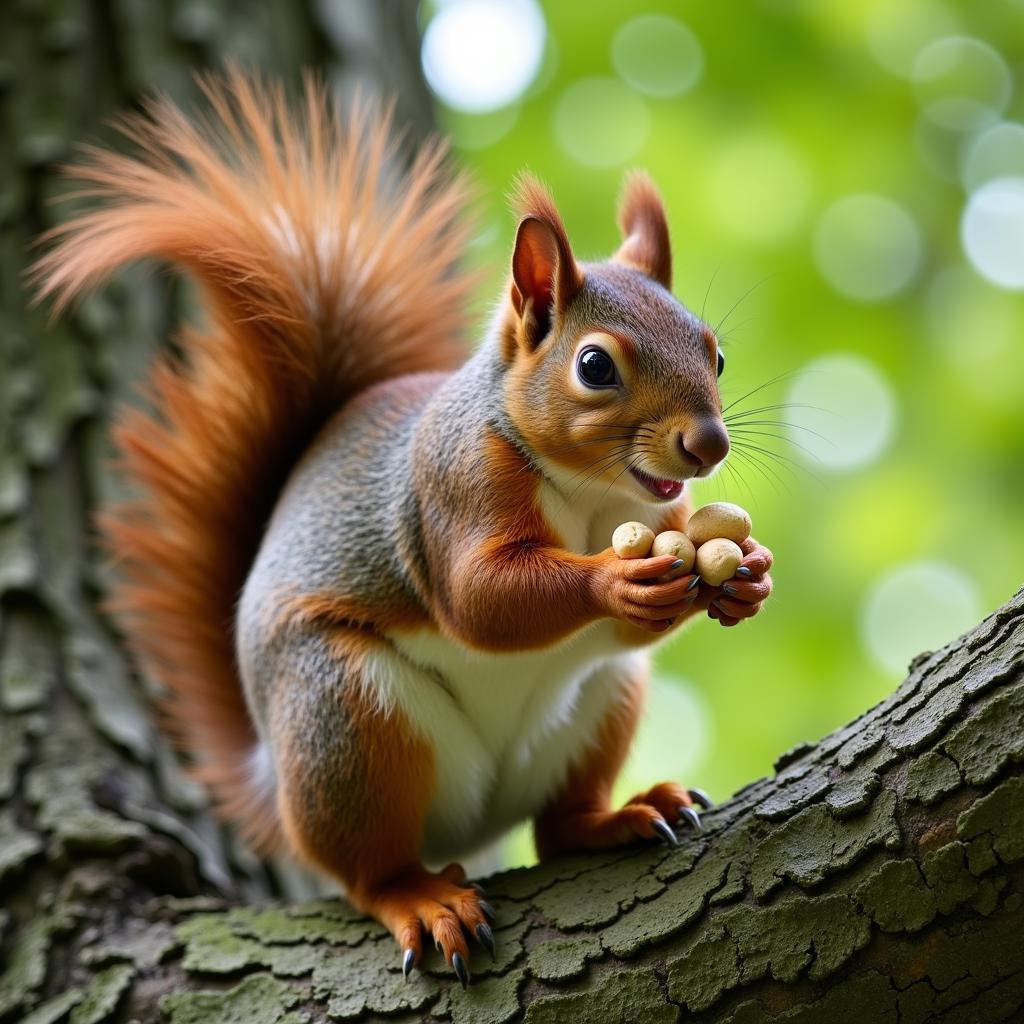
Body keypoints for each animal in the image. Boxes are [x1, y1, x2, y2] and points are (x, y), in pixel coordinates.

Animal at [32, 70, 770, 983]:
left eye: (717, 354)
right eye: (595, 366)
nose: (708, 444)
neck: (590, 494)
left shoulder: (656, 515)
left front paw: (747, 573)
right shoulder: (455, 485)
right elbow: (481, 598)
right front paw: (617, 580)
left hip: (600, 702)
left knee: (558, 823)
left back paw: (620, 815)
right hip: (344, 716)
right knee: (368, 869)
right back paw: (419, 897)